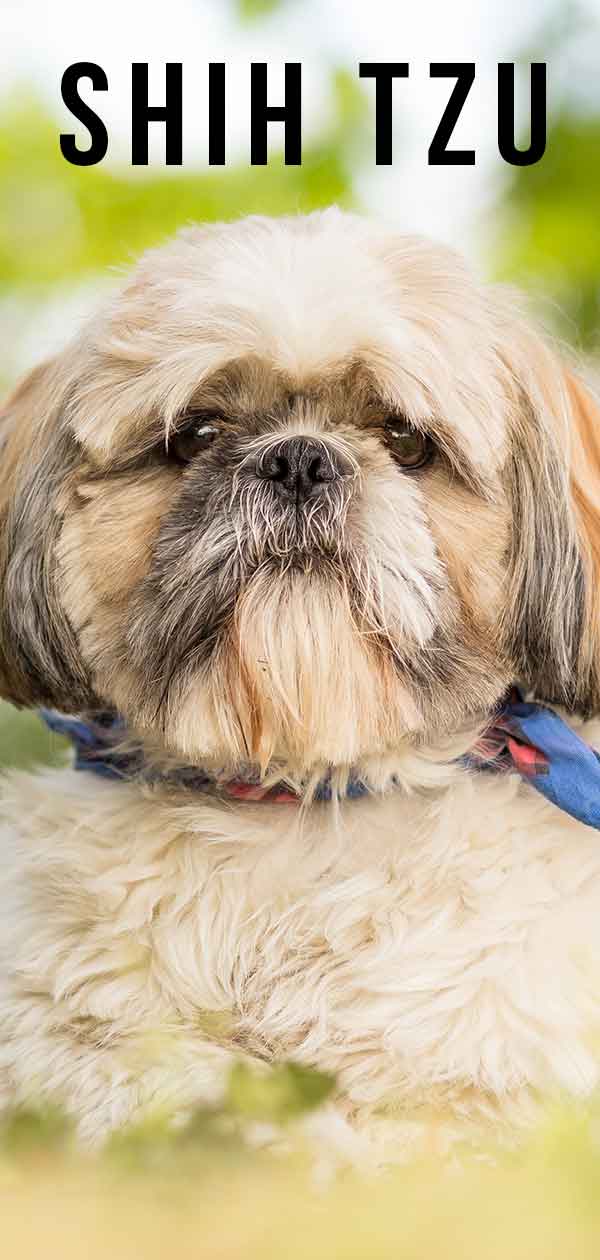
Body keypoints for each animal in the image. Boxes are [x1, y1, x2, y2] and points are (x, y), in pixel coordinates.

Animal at [0, 209, 600, 1159]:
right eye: (195, 435)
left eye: (406, 439)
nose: (299, 461)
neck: (300, 799)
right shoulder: (57, 1040)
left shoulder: (474, 1095)